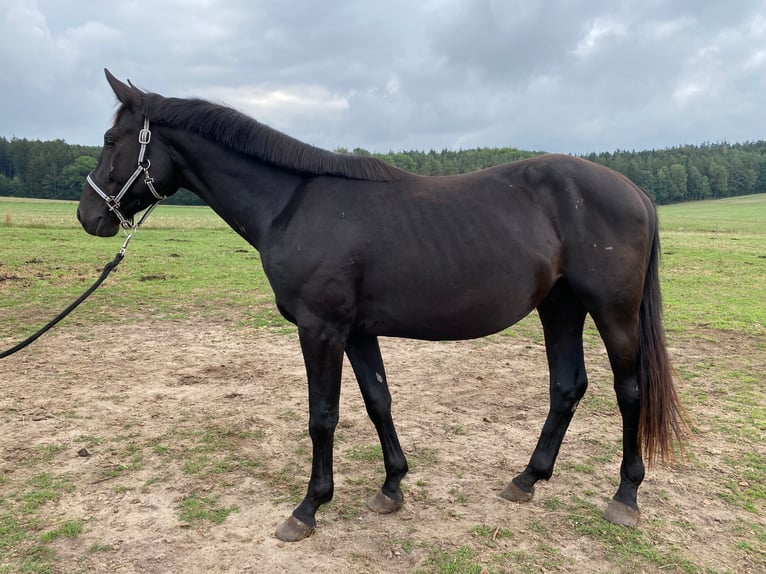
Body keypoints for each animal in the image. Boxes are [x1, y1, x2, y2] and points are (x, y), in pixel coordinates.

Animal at [79, 70, 688, 544]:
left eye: (111, 137)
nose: (89, 215)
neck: (292, 205)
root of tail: (635, 192)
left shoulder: (320, 329)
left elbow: (322, 416)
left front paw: (308, 508)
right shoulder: (356, 331)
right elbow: (378, 401)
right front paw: (391, 486)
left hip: (612, 312)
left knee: (629, 391)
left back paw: (625, 496)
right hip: (559, 308)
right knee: (567, 386)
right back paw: (527, 480)